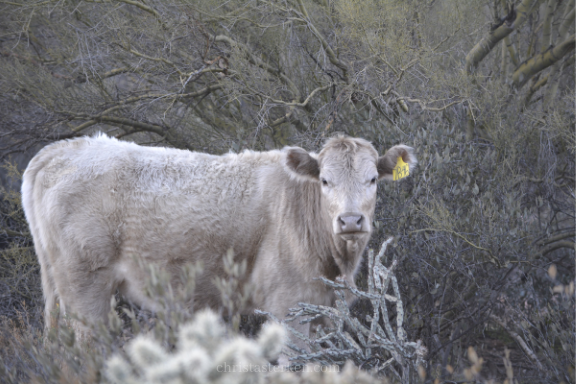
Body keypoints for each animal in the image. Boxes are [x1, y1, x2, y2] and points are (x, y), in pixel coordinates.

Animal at [21, 134, 414, 342]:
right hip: (85, 291)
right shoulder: (290, 307)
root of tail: (64, 148)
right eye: (325, 181)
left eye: (373, 180)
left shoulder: (325, 312)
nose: (350, 220)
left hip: (57, 289)